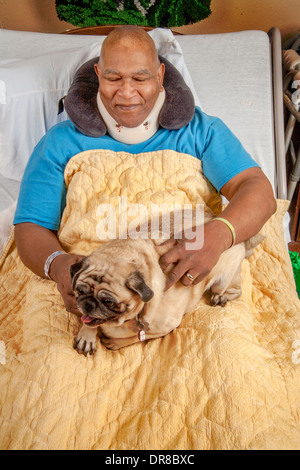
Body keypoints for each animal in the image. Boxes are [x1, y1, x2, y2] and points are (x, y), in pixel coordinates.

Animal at [69, 209, 262, 352]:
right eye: (79, 290)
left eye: (108, 301)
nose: (88, 304)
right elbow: (89, 322)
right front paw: (87, 334)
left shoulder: (167, 326)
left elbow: (140, 336)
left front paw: (117, 342)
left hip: (224, 280)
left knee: (235, 290)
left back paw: (222, 297)